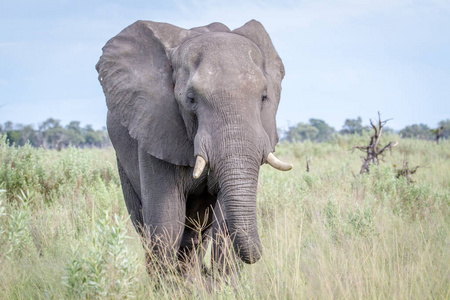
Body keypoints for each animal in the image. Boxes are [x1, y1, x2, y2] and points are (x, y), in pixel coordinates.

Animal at [95, 18, 292, 274]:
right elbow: (166, 224)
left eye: (264, 97)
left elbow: (223, 224)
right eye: (190, 99)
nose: (259, 254)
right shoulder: (155, 127)